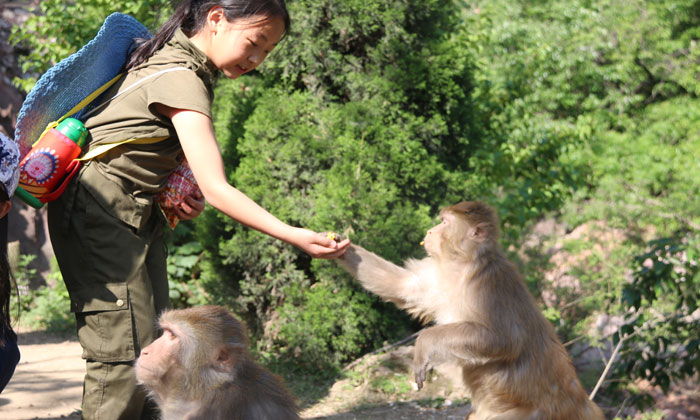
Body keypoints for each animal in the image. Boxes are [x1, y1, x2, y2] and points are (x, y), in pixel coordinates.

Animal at [336, 200, 604, 420]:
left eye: (444, 222)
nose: (430, 230)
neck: (464, 265)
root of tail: (580, 404)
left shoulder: (489, 287)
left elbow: (504, 339)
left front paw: (423, 344)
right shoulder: (440, 276)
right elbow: (404, 287)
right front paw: (338, 247)